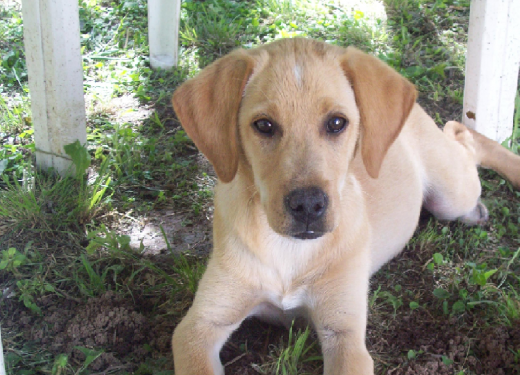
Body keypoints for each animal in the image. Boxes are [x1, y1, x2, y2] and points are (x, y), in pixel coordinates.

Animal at [172, 39, 520, 375]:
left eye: (337, 123)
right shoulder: (198, 327)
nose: (308, 205)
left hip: (451, 193)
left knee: (466, 139)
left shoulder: (345, 333)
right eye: (264, 125)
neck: (290, 251)